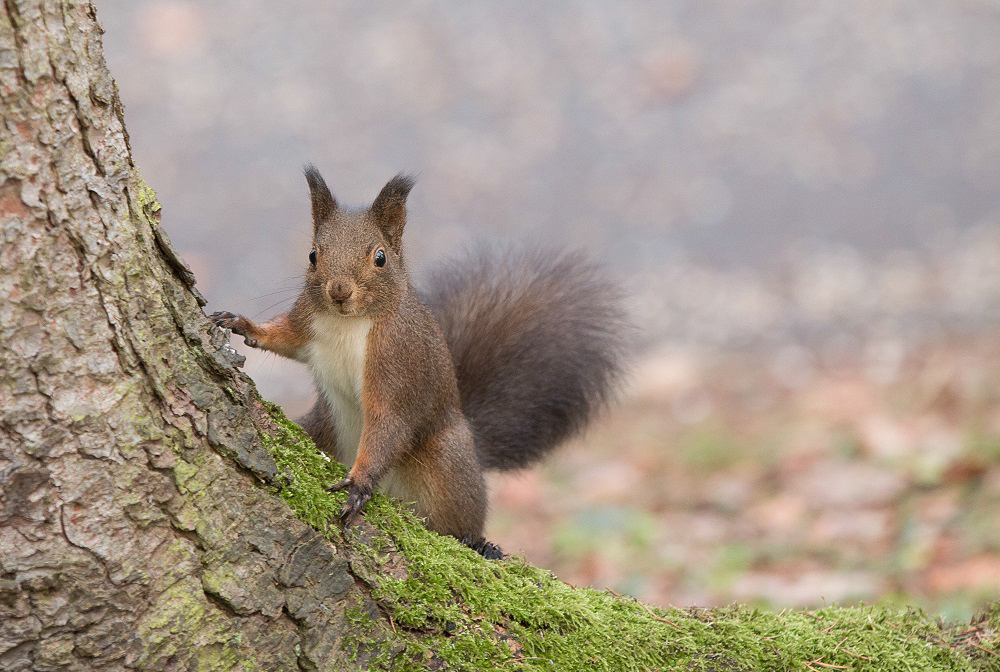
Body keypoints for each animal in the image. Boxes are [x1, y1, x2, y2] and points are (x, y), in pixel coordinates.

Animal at [213, 167, 624, 556]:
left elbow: (389, 422)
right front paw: (240, 323)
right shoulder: (307, 322)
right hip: (320, 427)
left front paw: (359, 483)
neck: (349, 322)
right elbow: (285, 339)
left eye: (380, 257)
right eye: (313, 254)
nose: (339, 291)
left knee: (462, 516)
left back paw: (481, 544)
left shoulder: (398, 363)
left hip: (445, 462)